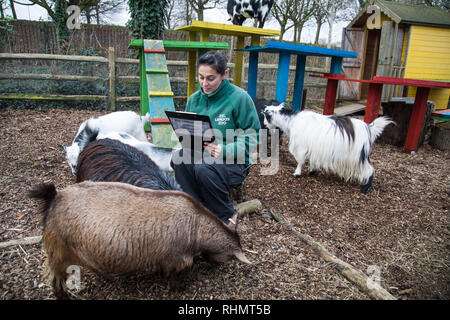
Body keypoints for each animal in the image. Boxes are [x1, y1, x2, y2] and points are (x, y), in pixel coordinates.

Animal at [29, 181, 251, 298]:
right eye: (229, 257)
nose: (216, 266)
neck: (196, 225)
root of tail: (56, 197)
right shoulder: (176, 258)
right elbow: (175, 275)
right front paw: (178, 289)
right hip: (59, 252)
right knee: (56, 279)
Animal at [262, 105, 392, 194]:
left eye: (266, 116)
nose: (264, 124)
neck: (291, 121)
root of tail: (368, 129)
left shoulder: (301, 147)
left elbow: (300, 161)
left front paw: (297, 173)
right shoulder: (314, 148)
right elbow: (312, 160)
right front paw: (312, 171)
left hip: (358, 155)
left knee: (369, 169)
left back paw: (365, 188)